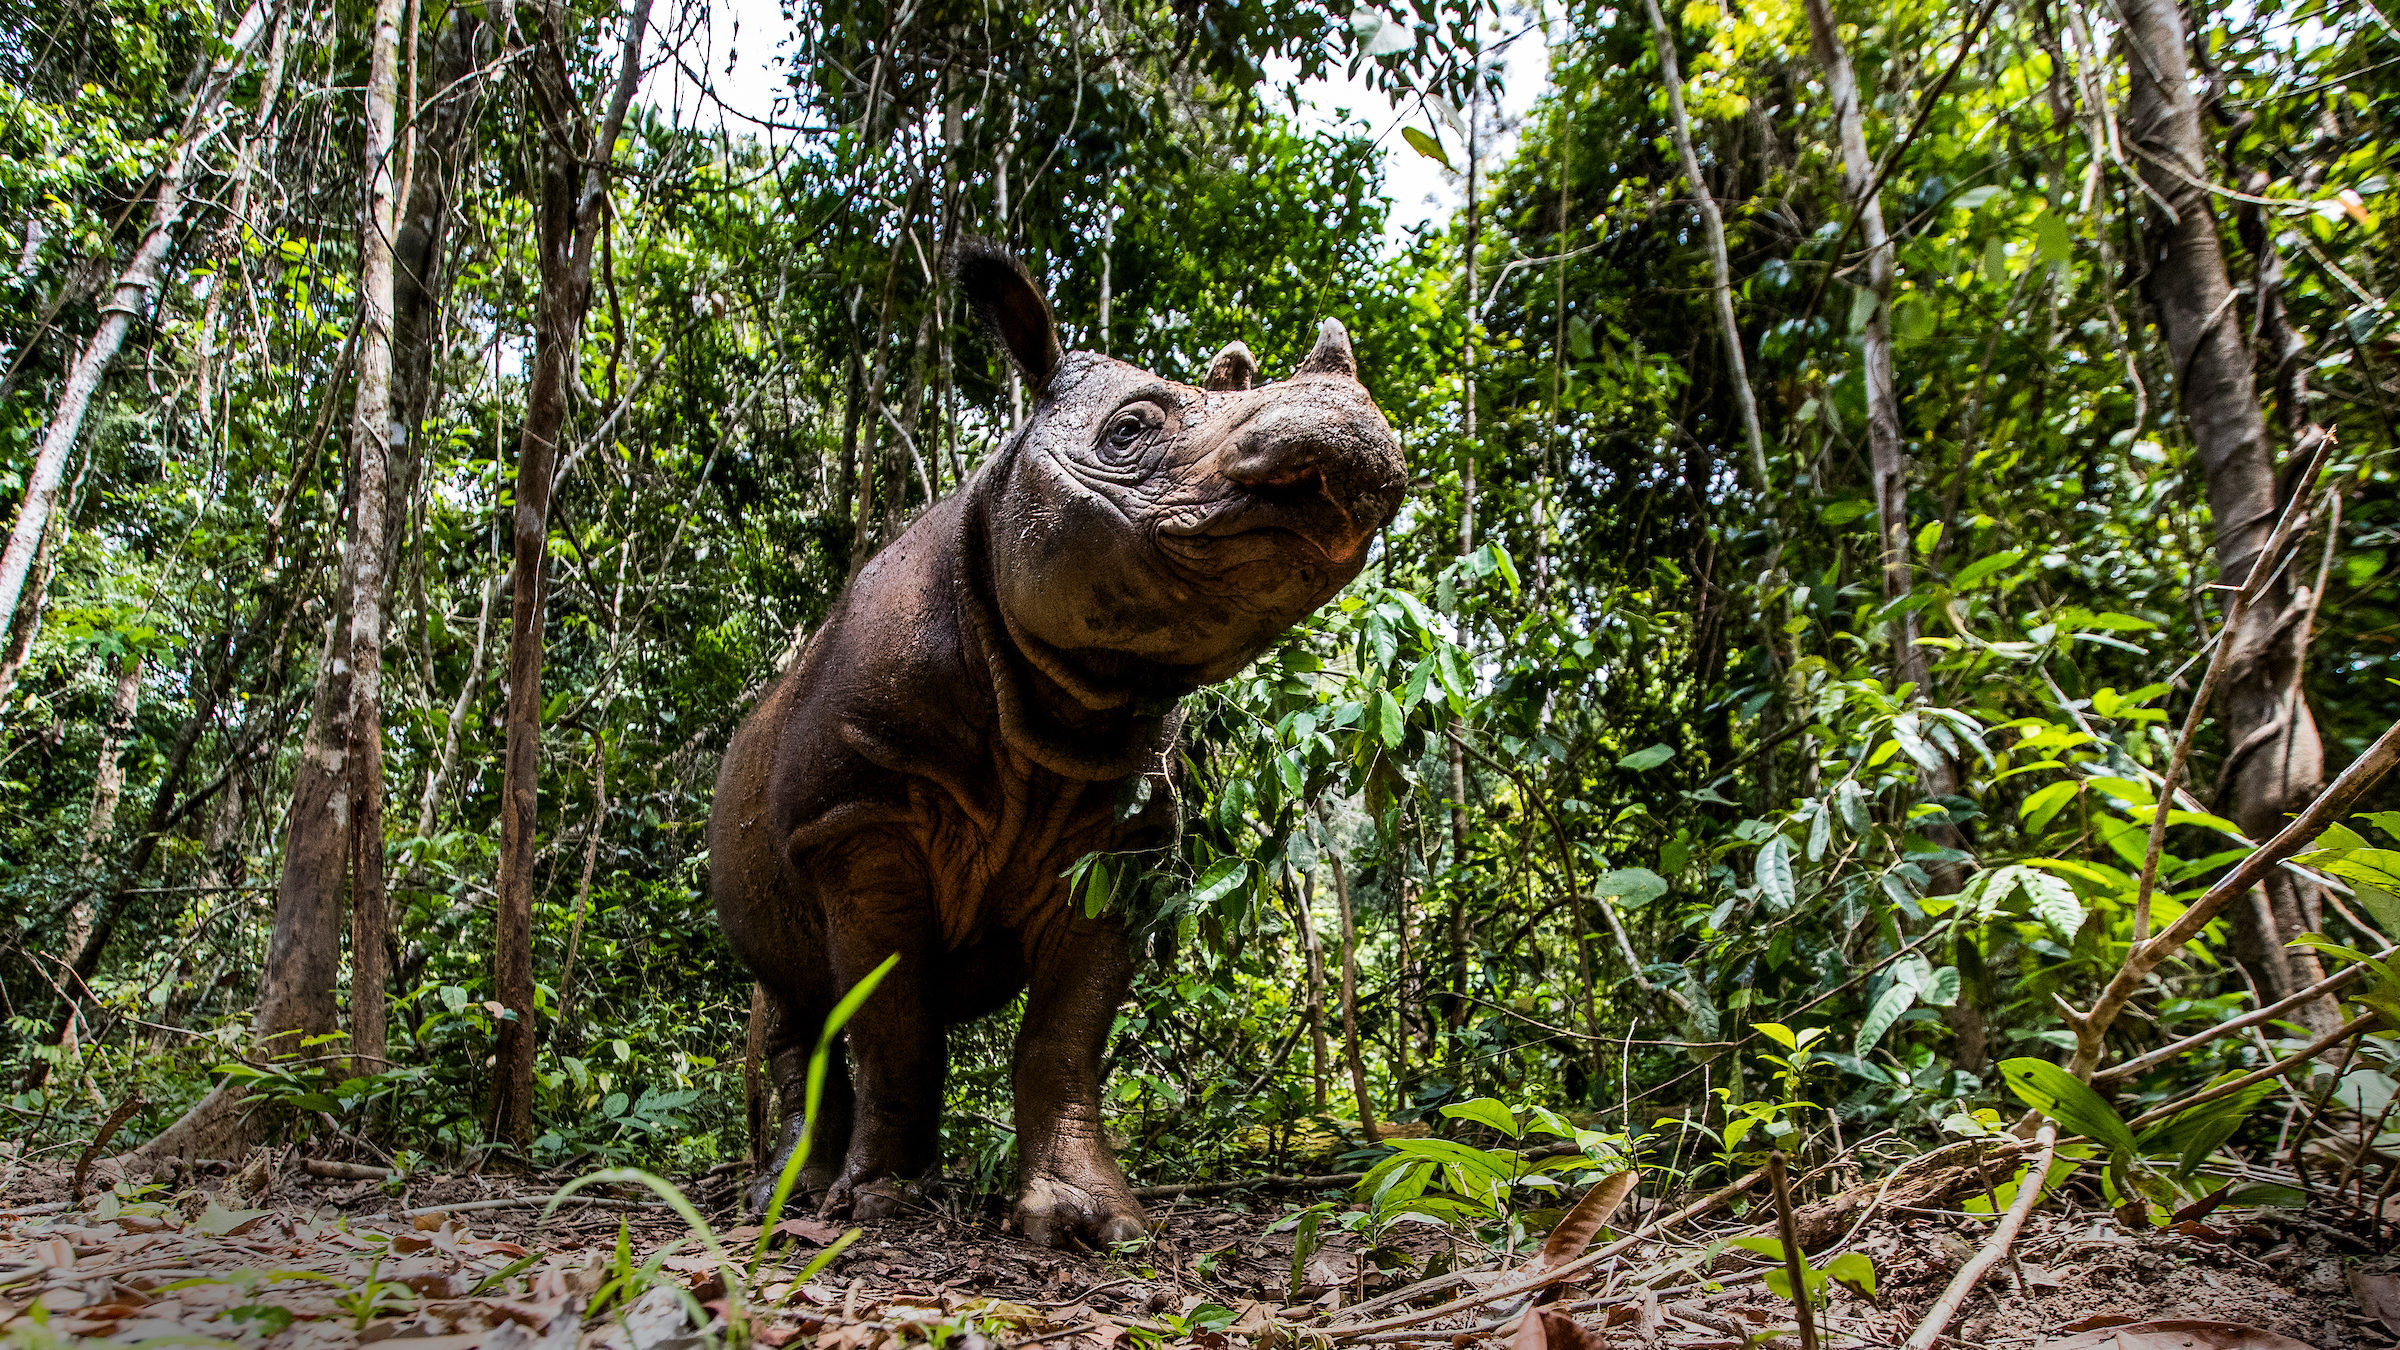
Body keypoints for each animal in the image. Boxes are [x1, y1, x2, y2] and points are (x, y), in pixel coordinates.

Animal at [709, 239, 1406, 1247]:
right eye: (1129, 432)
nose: (1354, 433)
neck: (1065, 696)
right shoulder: (856, 814)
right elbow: (891, 1016)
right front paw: (879, 1206)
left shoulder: (1124, 837)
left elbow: (1066, 1034)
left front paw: (1092, 1223)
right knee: (799, 1008)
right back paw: (790, 1199)